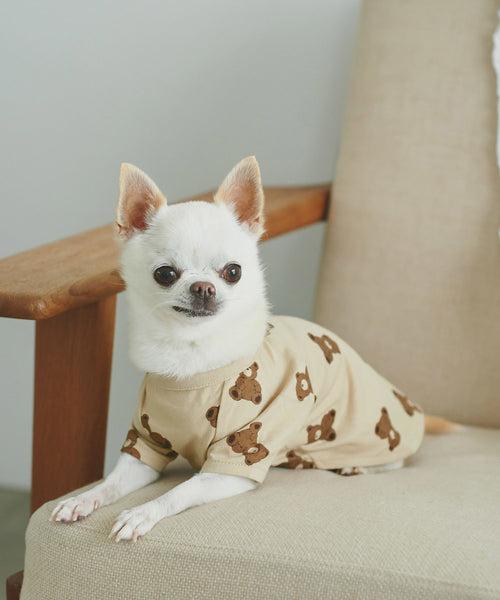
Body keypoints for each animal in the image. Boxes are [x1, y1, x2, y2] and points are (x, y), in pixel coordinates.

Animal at [51, 157, 459, 542]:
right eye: (165, 274)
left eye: (233, 271)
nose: (203, 288)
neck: (191, 354)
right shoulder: (145, 446)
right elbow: (111, 484)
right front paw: (81, 499)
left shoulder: (234, 463)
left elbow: (179, 492)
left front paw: (141, 513)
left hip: (369, 432)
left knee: (396, 458)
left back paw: (359, 464)